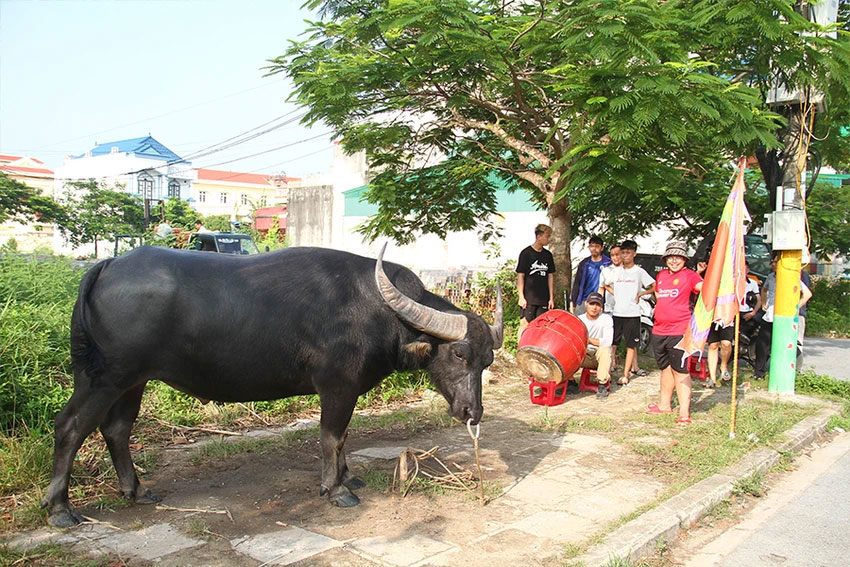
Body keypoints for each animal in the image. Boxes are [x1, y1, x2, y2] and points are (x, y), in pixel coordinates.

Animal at [43, 244, 500, 528]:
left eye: (487, 360)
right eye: (459, 354)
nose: (472, 412)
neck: (378, 309)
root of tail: (108, 265)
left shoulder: (347, 389)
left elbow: (345, 436)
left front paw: (348, 477)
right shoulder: (337, 385)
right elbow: (332, 435)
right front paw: (335, 489)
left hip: (133, 381)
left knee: (117, 429)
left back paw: (136, 490)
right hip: (103, 377)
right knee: (70, 427)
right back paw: (60, 509)